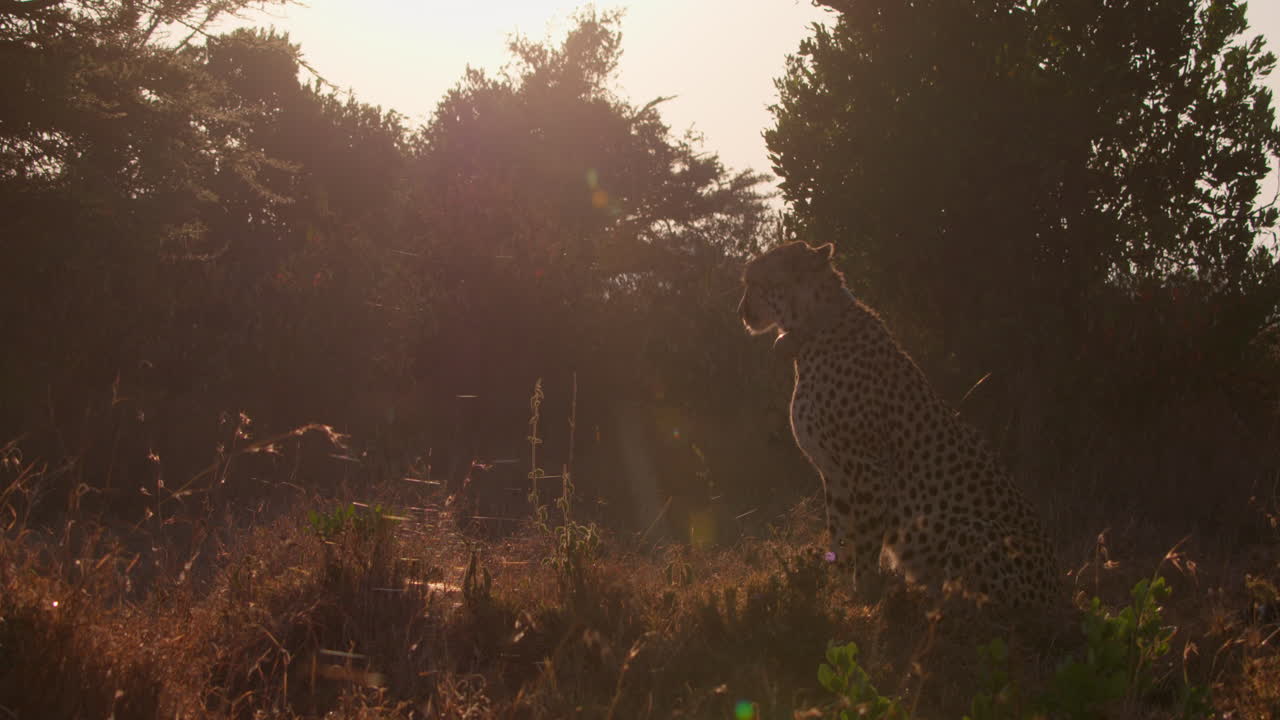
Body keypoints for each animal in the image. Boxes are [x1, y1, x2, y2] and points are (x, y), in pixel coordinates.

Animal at [738, 240, 1057, 611]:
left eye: (755, 283)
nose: (741, 312)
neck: (814, 326)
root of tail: (1059, 594)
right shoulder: (834, 473)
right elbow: (840, 537)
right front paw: (840, 596)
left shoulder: (869, 469)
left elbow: (865, 540)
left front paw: (866, 596)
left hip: (974, 532)